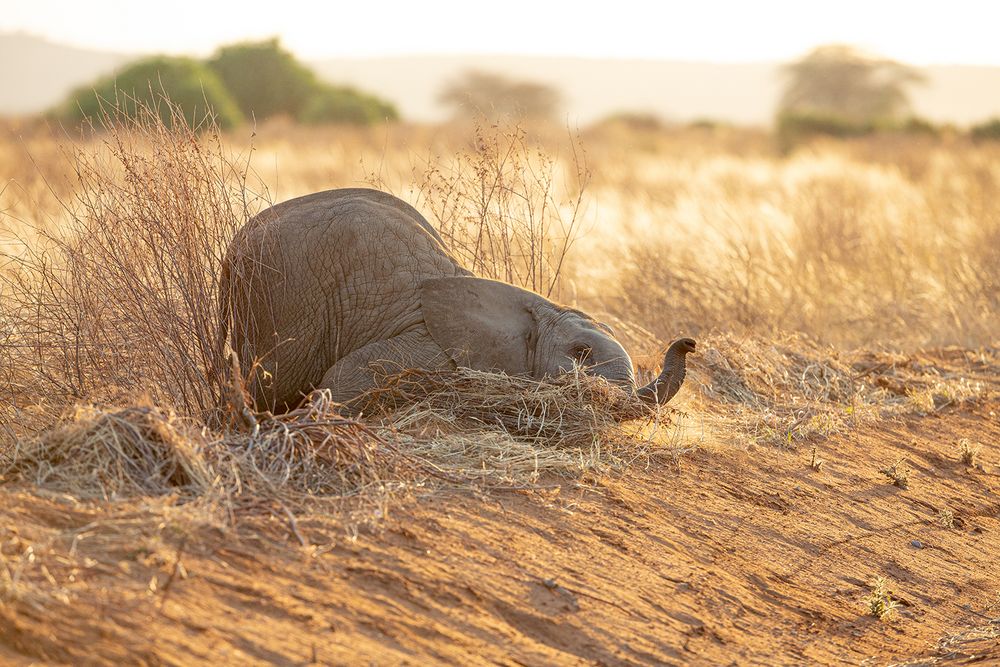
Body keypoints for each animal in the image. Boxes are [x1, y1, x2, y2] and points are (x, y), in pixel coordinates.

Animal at [221, 188, 696, 414]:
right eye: (580, 354)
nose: (689, 342)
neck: (527, 305)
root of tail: (237, 243)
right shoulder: (430, 347)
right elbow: (349, 376)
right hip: (284, 298)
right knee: (270, 381)